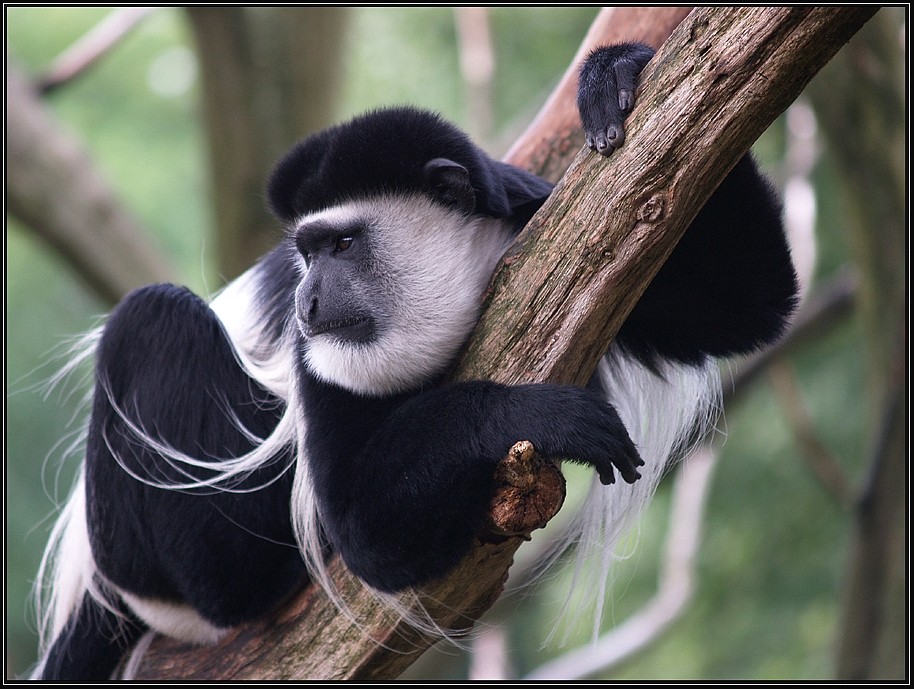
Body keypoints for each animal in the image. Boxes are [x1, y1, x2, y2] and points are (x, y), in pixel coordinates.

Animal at [32, 43, 796, 676]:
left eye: (341, 246)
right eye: (306, 251)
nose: (307, 300)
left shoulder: (538, 212)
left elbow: (746, 304)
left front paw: (619, 73)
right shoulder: (320, 361)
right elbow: (367, 529)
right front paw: (543, 414)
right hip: (170, 571)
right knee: (153, 318)